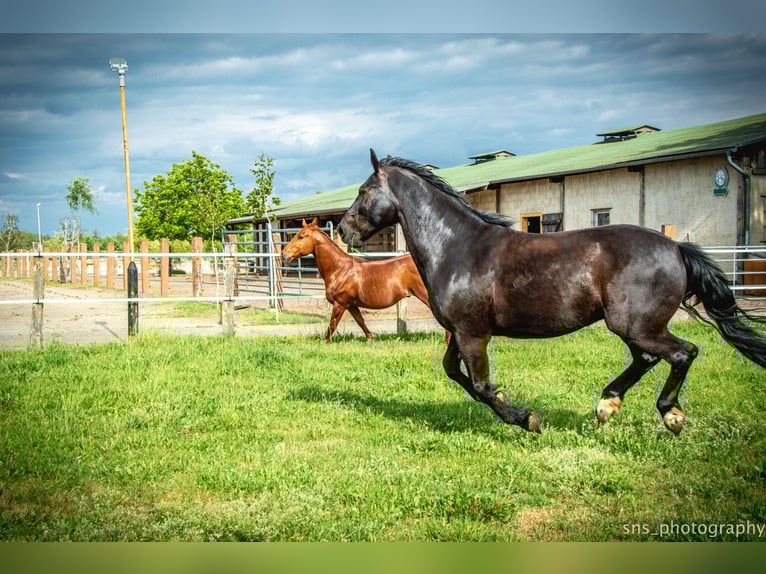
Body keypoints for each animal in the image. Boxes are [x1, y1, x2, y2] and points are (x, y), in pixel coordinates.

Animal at [281, 218, 431, 343]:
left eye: (301, 236)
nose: (284, 255)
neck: (340, 270)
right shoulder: (351, 305)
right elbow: (361, 322)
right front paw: (371, 339)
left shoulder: (340, 304)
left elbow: (331, 327)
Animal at [338, 149, 766, 434]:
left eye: (363, 190)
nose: (343, 230)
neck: (457, 247)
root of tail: (676, 247)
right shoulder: (460, 331)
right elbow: (456, 374)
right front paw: (513, 405)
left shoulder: (473, 333)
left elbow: (479, 384)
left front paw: (527, 418)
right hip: (634, 327)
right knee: (647, 358)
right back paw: (607, 405)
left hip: (636, 325)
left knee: (682, 352)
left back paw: (671, 415)